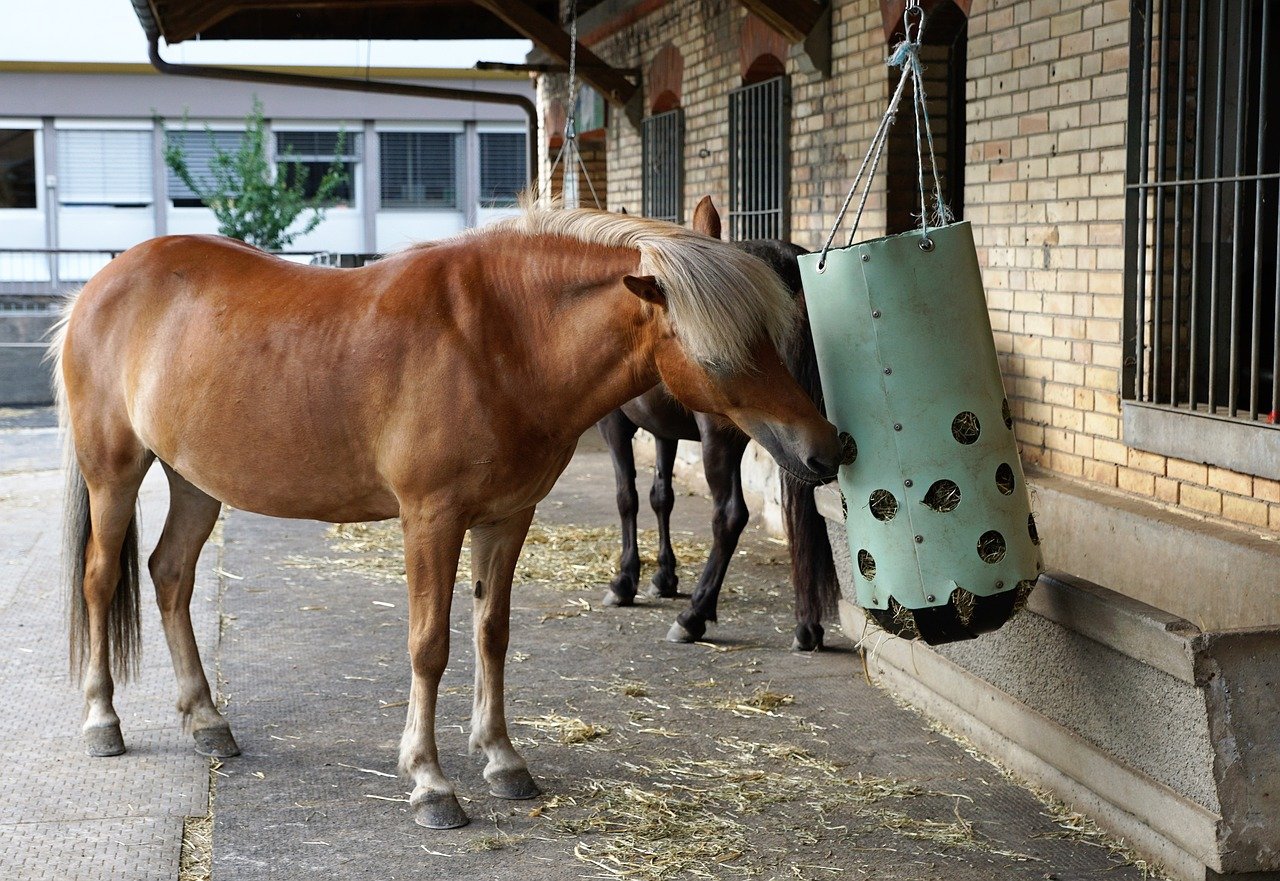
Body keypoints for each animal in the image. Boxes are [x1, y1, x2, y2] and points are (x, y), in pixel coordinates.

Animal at [598, 197, 838, 651]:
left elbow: (627, 497)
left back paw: (694, 615)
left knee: (729, 516)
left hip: (730, 439)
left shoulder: (615, 425)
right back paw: (807, 625)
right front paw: (663, 577)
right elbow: (661, 496)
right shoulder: (665, 431)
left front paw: (625, 581)